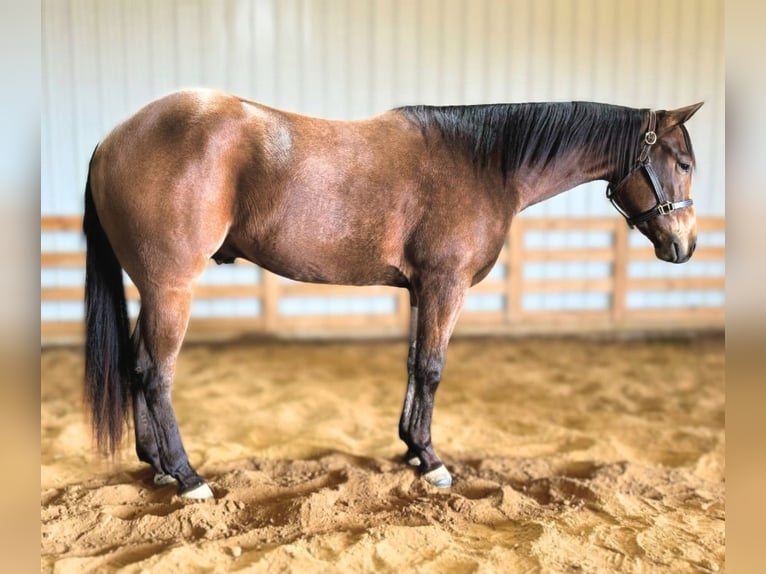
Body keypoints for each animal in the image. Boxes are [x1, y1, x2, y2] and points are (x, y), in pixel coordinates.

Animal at [82, 89, 704, 500]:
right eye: (682, 161)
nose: (686, 244)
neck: (483, 162)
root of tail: (111, 140)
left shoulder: (421, 288)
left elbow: (412, 365)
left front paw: (409, 449)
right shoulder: (446, 284)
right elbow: (431, 368)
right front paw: (431, 462)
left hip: (154, 289)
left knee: (137, 364)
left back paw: (159, 467)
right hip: (171, 288)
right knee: (156, 374)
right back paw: (188, 478)